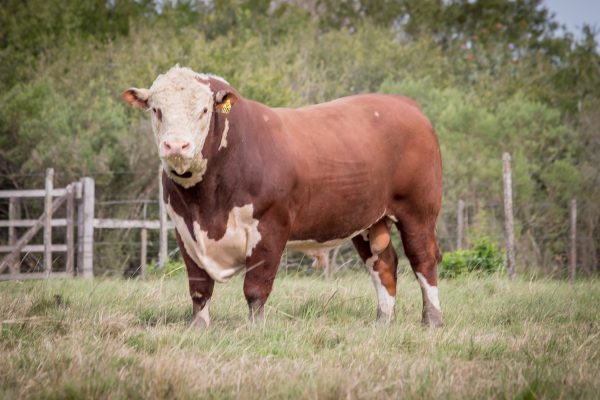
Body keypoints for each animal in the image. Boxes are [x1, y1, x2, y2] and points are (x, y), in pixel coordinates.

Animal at [123, 66, 440, 328]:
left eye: (203, 110)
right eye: (156, 110)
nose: (176, 145)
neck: (206, 203)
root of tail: (404, 103)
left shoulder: (270, 226)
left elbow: (255, 288)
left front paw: (256, 329)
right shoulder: (184, 229)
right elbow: (199, 287)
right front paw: (198, 327)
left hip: (419, 211)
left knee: (423, 259)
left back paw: (432, 320)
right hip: (367, 219)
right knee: (383, 263)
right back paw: (382, 321)